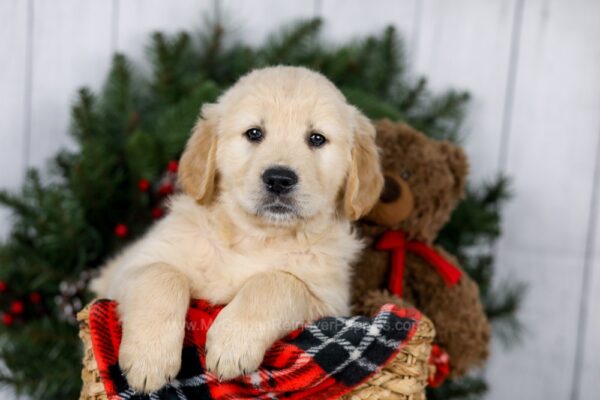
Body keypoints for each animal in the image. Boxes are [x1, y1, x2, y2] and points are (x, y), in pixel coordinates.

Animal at [92, 66, 384, 394]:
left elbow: (277, 282)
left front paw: (232, 343)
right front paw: (149, 358)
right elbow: (161, 275)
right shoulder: (131, 268)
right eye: (254, 133)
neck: (257, 237)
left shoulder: (330, 303)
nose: (279, 179)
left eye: (317, 139)